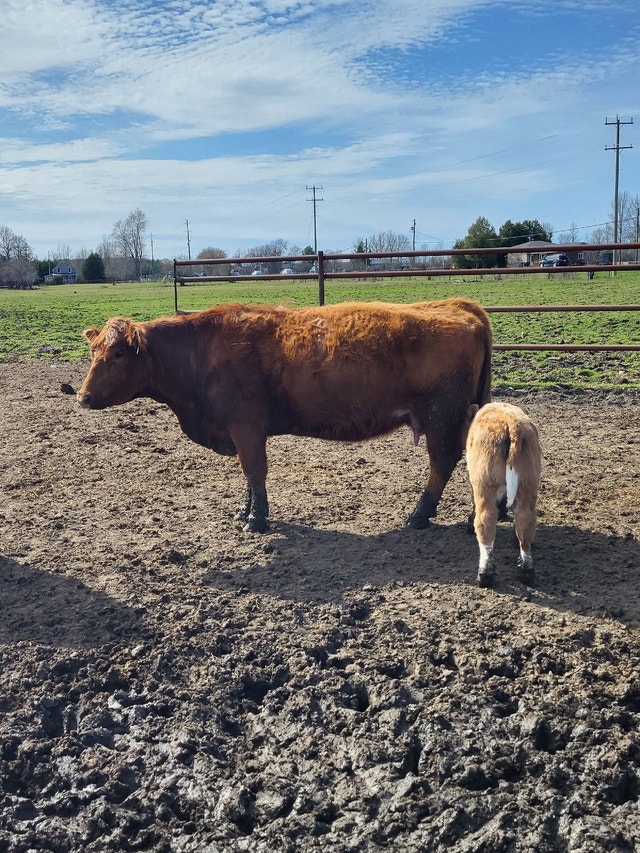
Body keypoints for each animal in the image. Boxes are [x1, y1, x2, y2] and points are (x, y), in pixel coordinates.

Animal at [77, 299, 492, 533]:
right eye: (94, 351)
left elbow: (254, 472)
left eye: (118, 354)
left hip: (441, 415)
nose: (82, 396)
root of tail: (457, 305)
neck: (200, 352)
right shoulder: (241, 431)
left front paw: (256, 520)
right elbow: (248, 475)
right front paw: (243, 512)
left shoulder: (246, 426)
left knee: (442, 463)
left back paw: (419, 515)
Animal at [465, 402, 541, 588]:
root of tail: (511, 423)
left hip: (485, 485)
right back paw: (526, 570)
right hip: (528, 483)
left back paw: (485, 574)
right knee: (525, 520)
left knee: (485, 521)